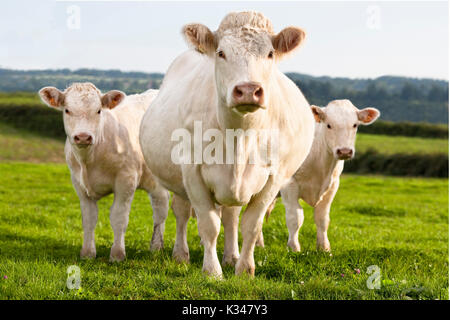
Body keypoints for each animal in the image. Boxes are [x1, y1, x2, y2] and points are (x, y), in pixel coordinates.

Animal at [37, 83, 169, 262]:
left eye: (99, 110)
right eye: (67, 110)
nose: (83, 137)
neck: (89, 161)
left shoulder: (126, 180)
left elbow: (119, 217)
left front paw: (117, 254)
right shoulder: (78, 184)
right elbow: (89, 219)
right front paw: (87, 253)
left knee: (161, 210)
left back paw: (156, 247)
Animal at [140, 11, 312, 278]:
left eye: (270, 53)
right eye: (221, 53)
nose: (249, 90)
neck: (239, 137)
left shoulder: (274, 178)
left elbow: (251, 225)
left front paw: (244, 269)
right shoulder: (192, 173)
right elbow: (209, 225)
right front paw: (212, 271)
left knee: (231, 216)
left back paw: (231, 256)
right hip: (177, 181)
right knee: (181, 212)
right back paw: (181, 255)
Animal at [260, 100, 380, 252]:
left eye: (355, 125)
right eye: (328, 125)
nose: (344, 151)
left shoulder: (333, 186)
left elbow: (322, 218)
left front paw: (324, 248)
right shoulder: (289, 183)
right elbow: (295, 217)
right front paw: (294, 248)